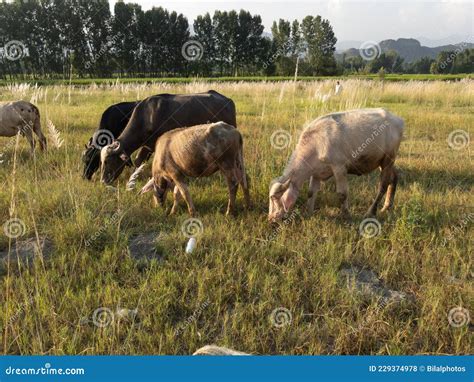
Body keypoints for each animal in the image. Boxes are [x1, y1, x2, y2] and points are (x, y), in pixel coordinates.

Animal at [99, 90, 236, 185]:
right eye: (101, 162)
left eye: (107, 161)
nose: (103, 181)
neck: (147, 117)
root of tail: (228, 100)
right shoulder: (147, 145)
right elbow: (138, 161)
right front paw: (134, 178)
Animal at [268, 107, 402, 222]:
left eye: (274, 198)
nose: (271, 219)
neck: (315, 144)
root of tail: (397, 119)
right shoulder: (316, 173)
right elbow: (311, 192)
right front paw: (308, 212)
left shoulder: (339, 168)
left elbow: (342, 194)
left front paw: (346, 215)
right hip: (384, 162)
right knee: (394, 177)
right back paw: (387, 206)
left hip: (388, 159)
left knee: (383, 185)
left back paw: (371, 211)